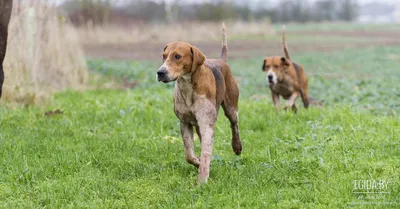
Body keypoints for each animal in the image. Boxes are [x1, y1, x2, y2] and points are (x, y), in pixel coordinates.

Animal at [157, 23, 242, 184]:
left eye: (177, 56)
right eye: (163, 56)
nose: (160, 72)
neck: (188, 87)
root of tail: (222, 61)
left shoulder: (206, 123)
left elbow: (205, 152)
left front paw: (202, 180)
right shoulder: (184, 123)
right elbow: (189, 155)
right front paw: (197, 162)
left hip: (231, 109)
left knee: (234, 125)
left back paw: (237, 146)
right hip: (198, 126)